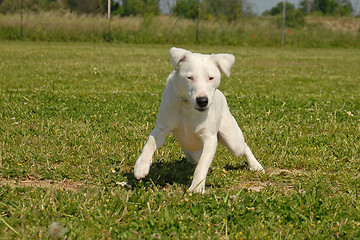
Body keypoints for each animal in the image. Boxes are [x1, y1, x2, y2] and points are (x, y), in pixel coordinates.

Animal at [134, 47, 262, 193]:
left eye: (211, 77)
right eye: (189, 77)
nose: (202, 101)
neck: (187, 106)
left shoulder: (210, 139)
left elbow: (202, 166)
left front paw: (196, 188)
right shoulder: (161, 129)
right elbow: (150, 143)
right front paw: (141, 166)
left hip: (233, 141)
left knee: (244, 147)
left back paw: (255, 165)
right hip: (192, 152)